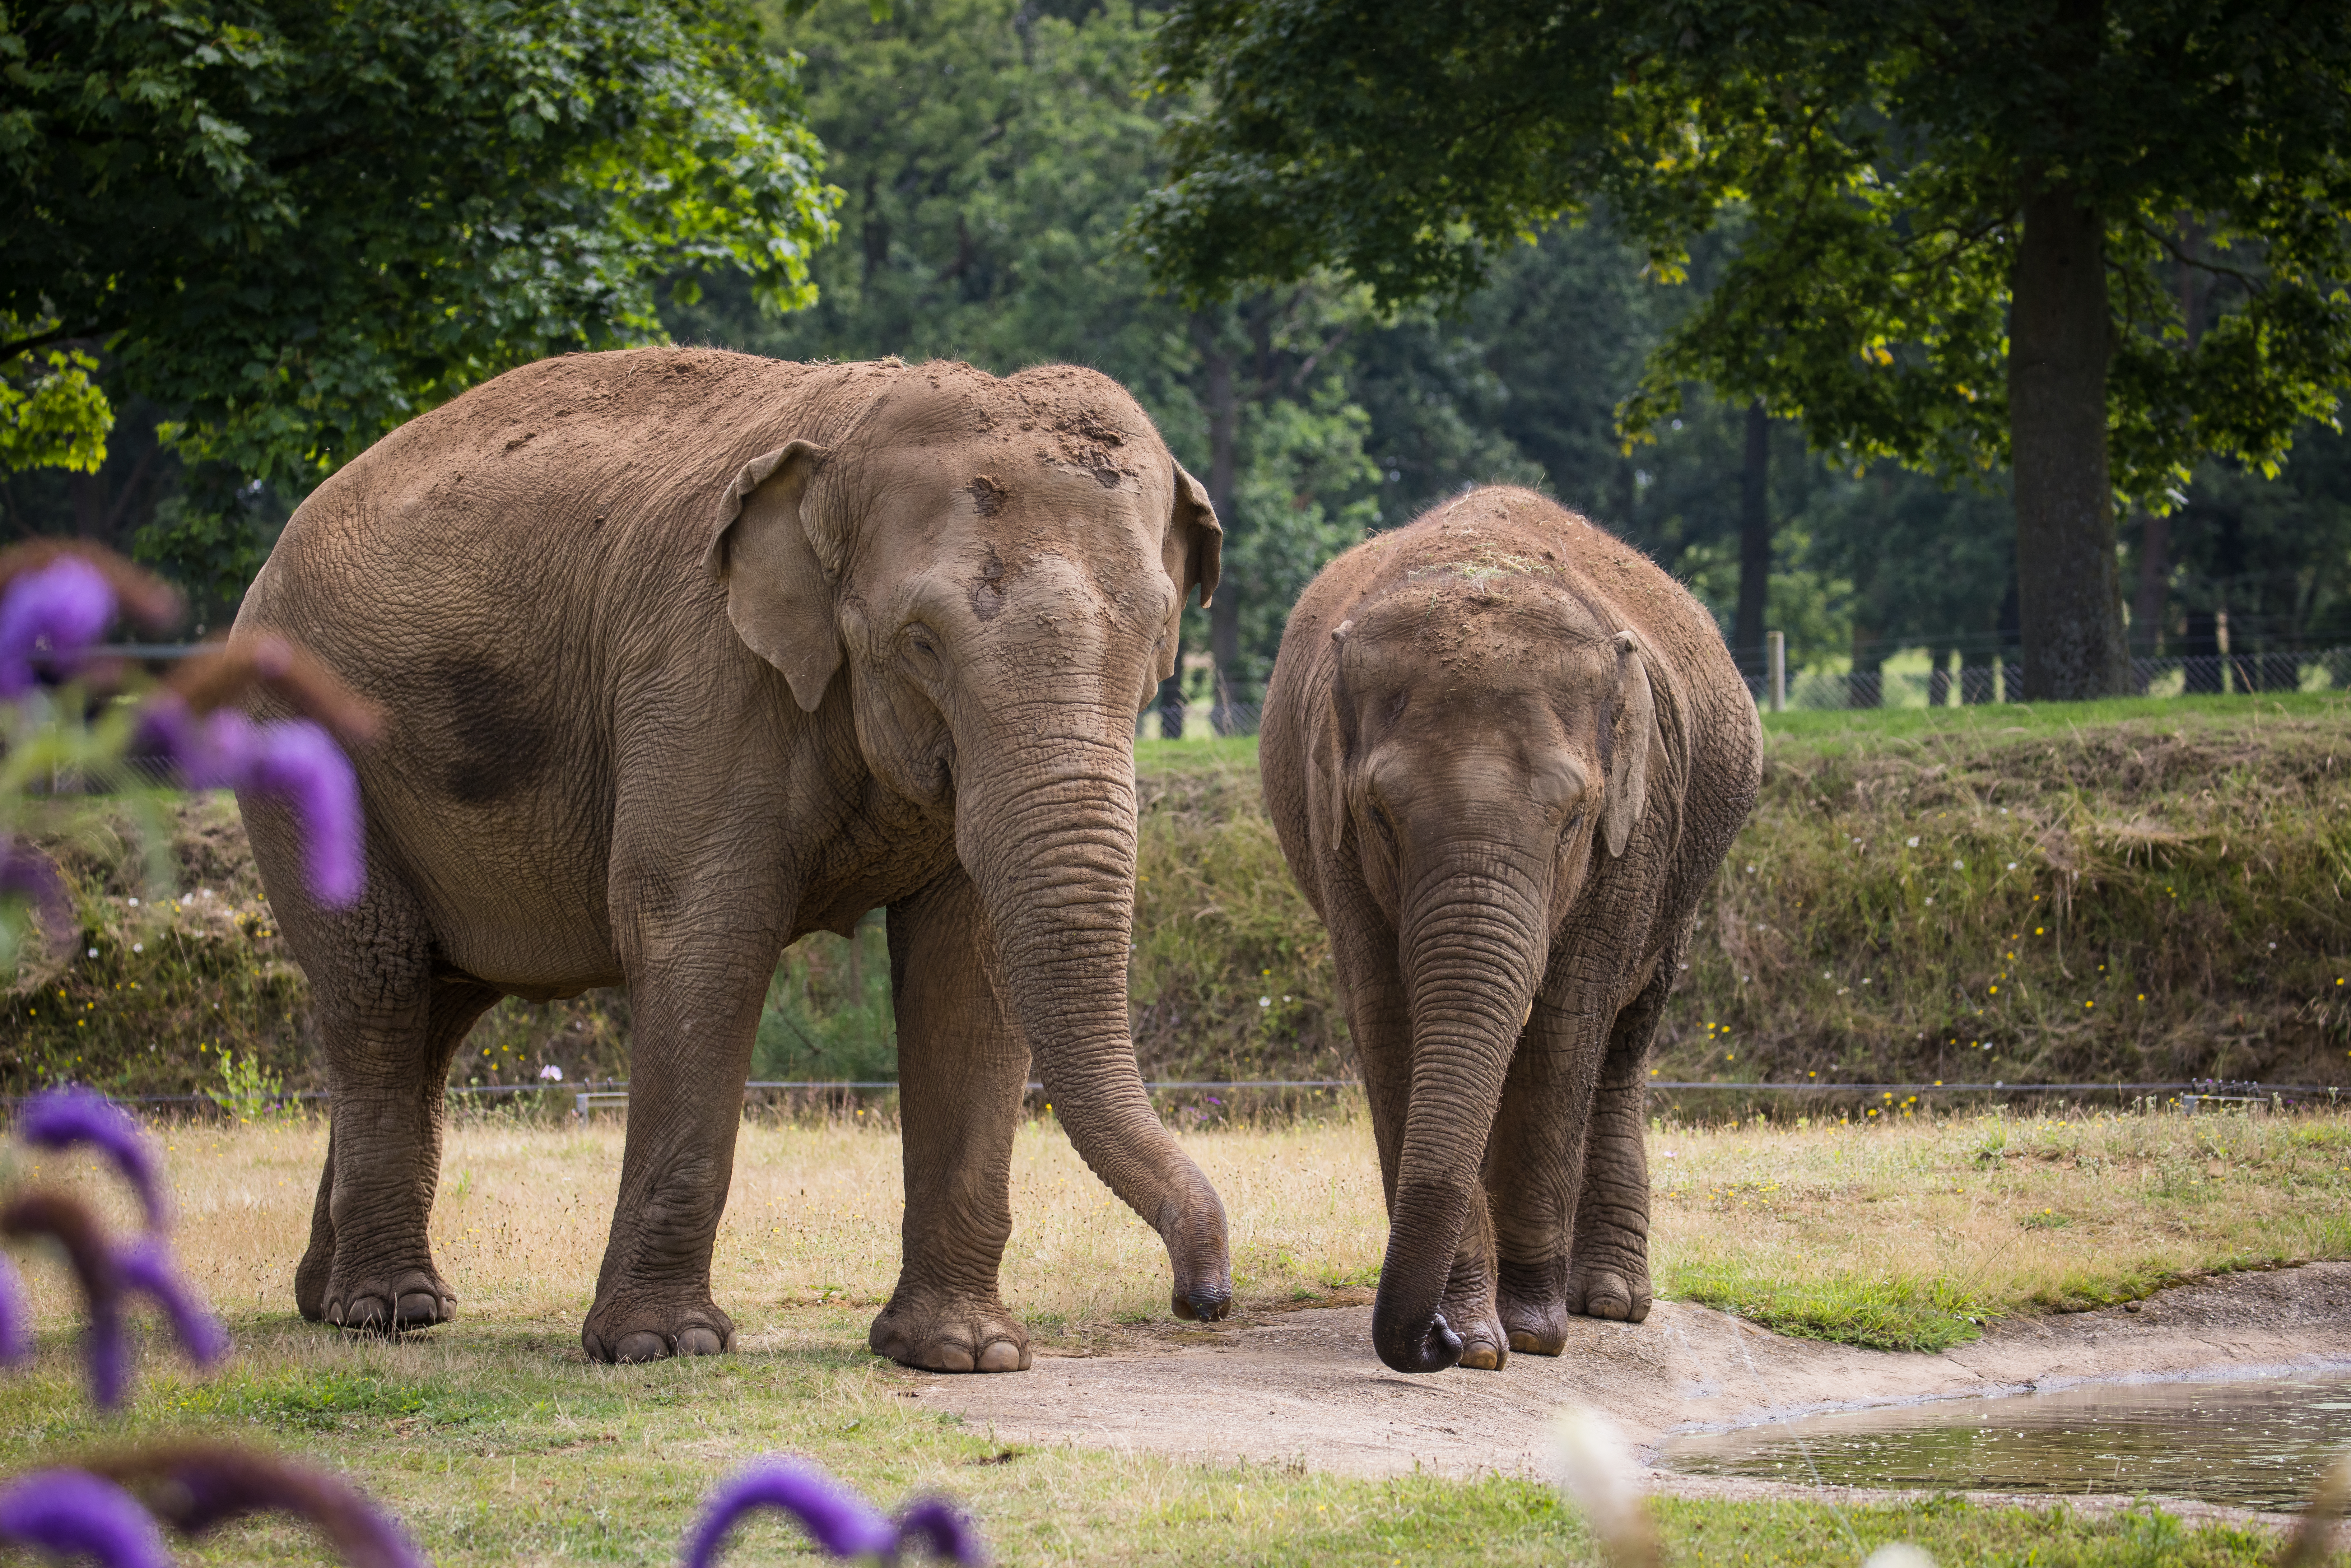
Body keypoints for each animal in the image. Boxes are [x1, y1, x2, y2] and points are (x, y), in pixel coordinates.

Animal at [231, 346, 1235, 1369]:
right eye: (921, 642)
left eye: (1155, 638)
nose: (1205, 1299)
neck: (839, 446)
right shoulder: (699, 668)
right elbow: (702, 935)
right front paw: (661, 1346)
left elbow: (966, 966)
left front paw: (962, 1353)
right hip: (303, 751)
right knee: (381, 986)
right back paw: (388, 1311)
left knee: (430, 1009)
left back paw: (336, 1302)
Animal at [1259, 486, 1759, 1375]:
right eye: (1379, 815)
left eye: (1572, 821)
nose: (1435, 1340)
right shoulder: (1331, 832)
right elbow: (1389, 1020)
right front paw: (1479, 1342)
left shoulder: (1634, 827)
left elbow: (1563, 1027)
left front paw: (1526, 1335)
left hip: (1685, 871)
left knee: (1622, 1040)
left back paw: (1608, 1303)